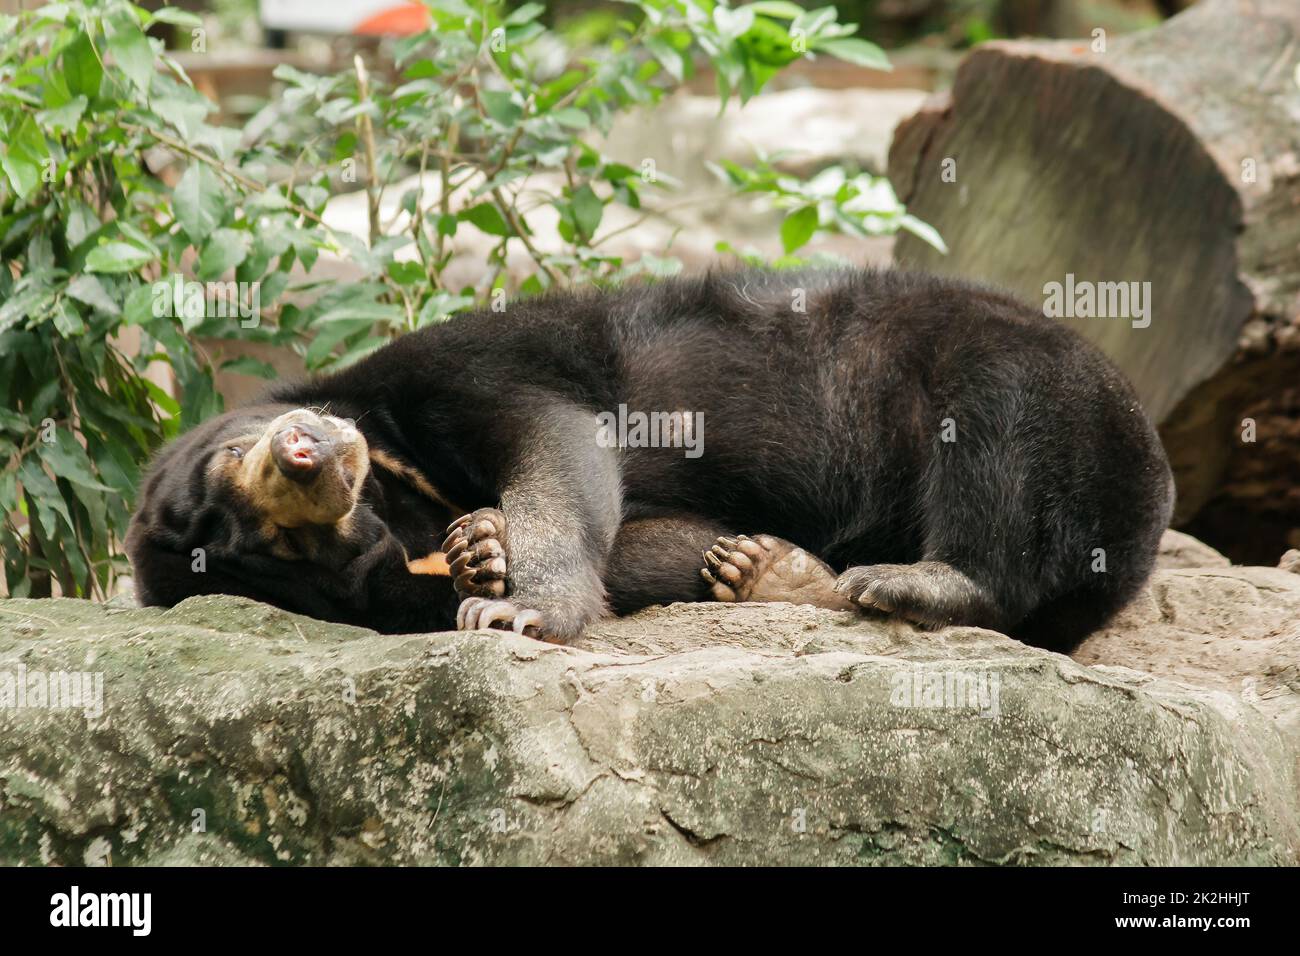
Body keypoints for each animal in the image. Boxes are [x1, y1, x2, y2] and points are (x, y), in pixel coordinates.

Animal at [126, 265, 1175, 655]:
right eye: (285, 543)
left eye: (234, 455)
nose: (307, 452)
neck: (402, 467)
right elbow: (654, 540)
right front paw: (479, 552)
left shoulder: (472, 365)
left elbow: (561, 441)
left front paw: (511, 601)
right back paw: (776, 573)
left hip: (1030, 378)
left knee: (997, 446)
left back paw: (916, 580)